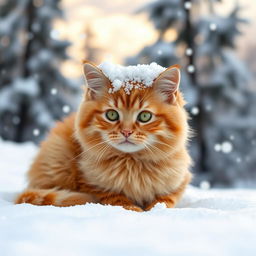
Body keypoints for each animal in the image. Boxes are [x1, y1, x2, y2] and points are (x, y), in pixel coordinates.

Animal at [15, 61, 192, 211]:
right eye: (112, 115)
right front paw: (134, 209)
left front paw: (154, 210)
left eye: (145, 117)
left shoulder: (180, 182)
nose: (126, 132)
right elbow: (117, 199)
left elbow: (165, 200)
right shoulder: (90, 184)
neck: (132, 164)